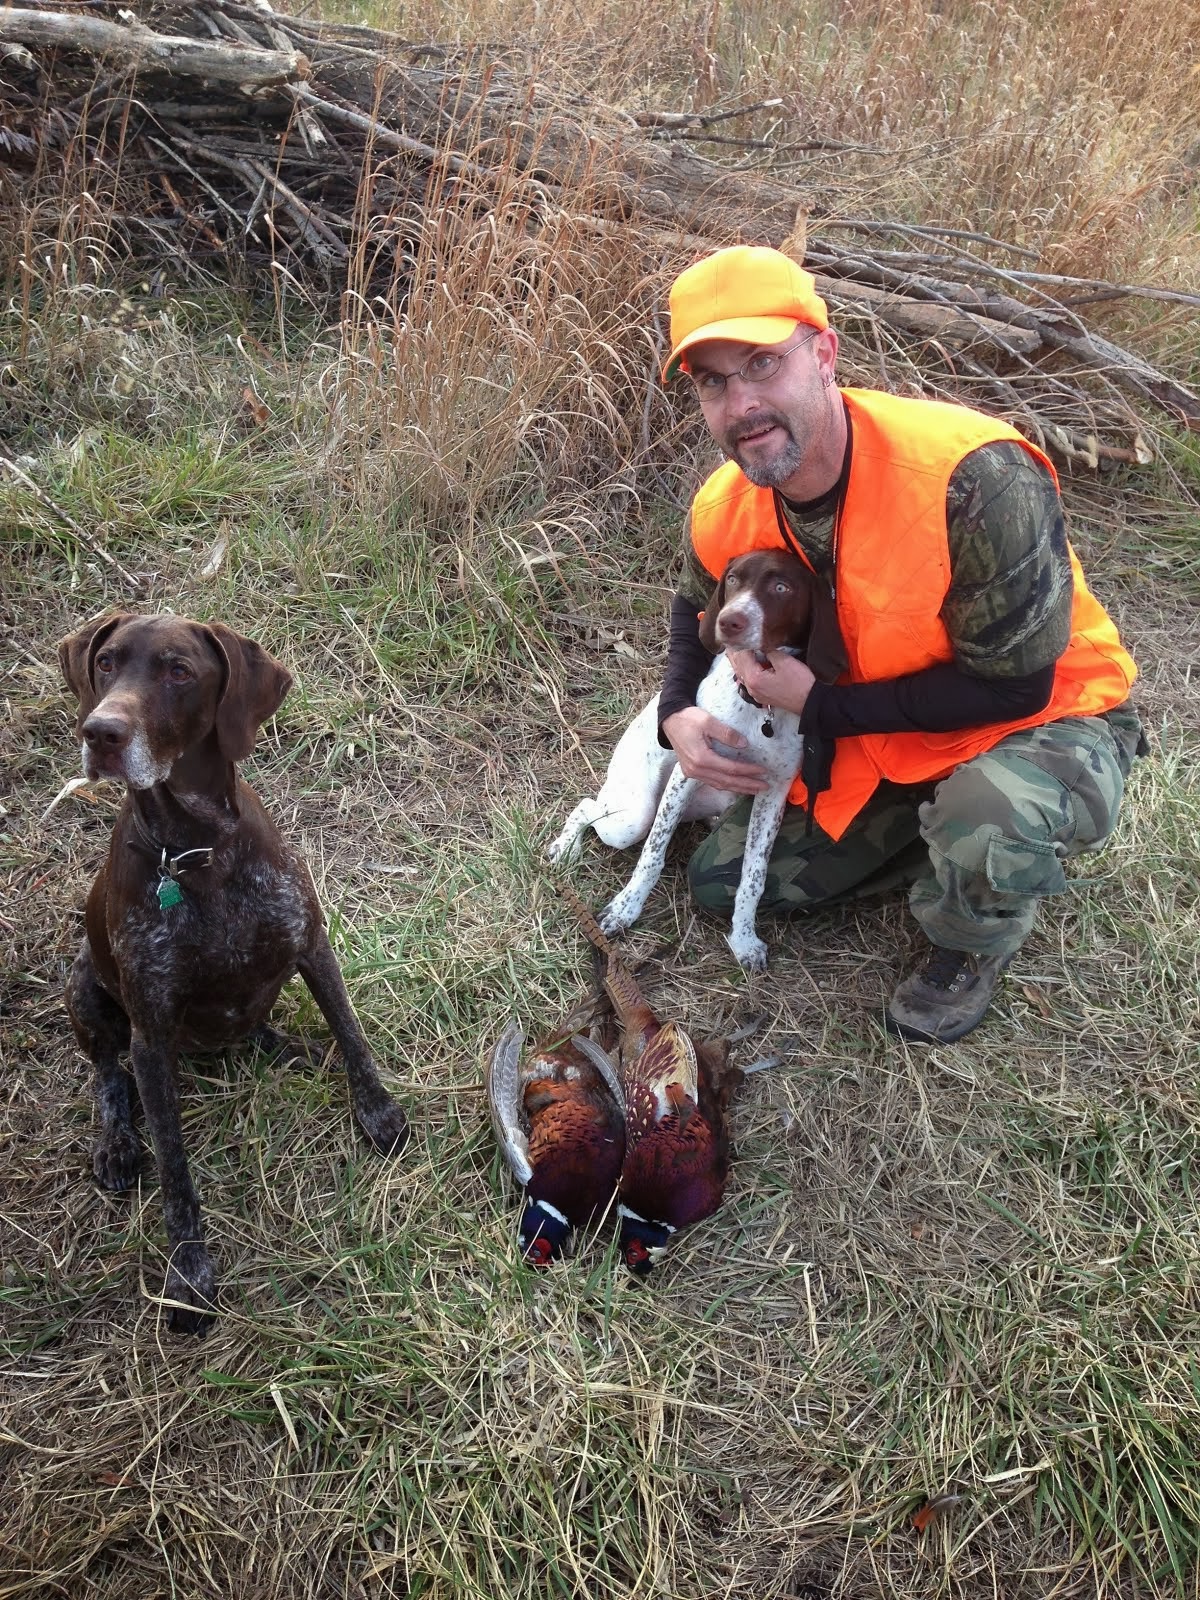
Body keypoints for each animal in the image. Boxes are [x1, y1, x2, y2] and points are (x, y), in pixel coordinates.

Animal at [58, 611, 412, 1337]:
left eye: (179, 670)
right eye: (106, 663)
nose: (101, 732)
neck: (194, 849)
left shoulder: (309, 945)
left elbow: (353, 1037)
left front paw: (378, 1115)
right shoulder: (150, 1037)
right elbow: (174, 1169)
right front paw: (187, 1275)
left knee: (258, 1030)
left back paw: (291, 1049)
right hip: (83, 987)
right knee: (107, 1075)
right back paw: (116, 1141)